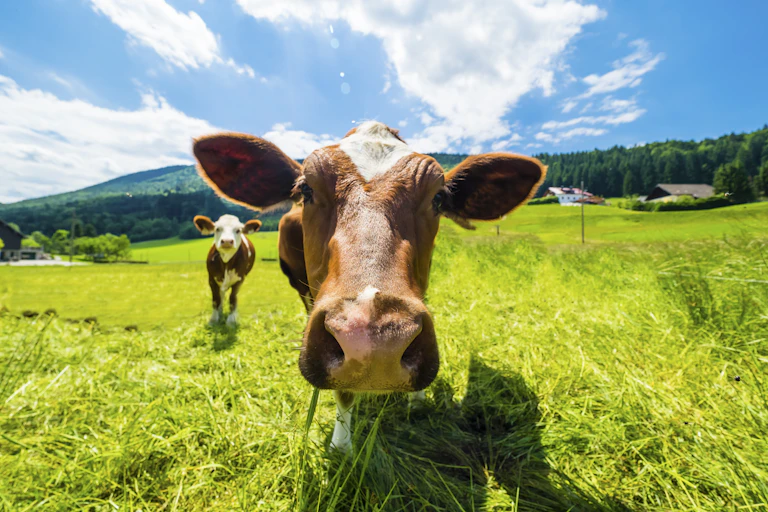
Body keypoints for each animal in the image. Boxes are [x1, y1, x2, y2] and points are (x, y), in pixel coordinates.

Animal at [193, 121, 545, 451]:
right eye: (305, 190)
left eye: (438, 198)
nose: (378, 345)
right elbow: (344, 393)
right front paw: (341, 445)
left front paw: (417, 400)